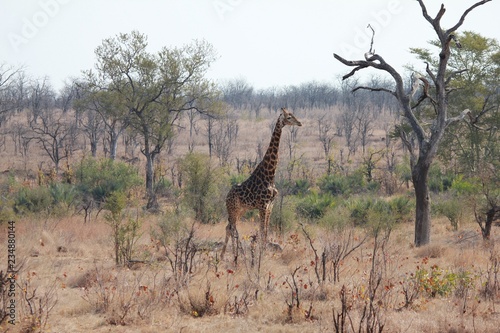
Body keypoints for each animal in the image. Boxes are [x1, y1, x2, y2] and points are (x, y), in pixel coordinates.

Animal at [222, 106, 300, 260]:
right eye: (289, 117)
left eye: (293, 115)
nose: (299, 123)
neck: (270, 174)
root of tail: (226, 196)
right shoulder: (263, 205)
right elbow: (262, 229)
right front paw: (262, 254)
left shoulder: (270, 205)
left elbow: (266, 230)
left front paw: (264, 252)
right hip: (233, 209)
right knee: (231, 227)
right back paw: (233, 255)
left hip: (241, 210)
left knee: (229, 227)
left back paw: (227, 255)